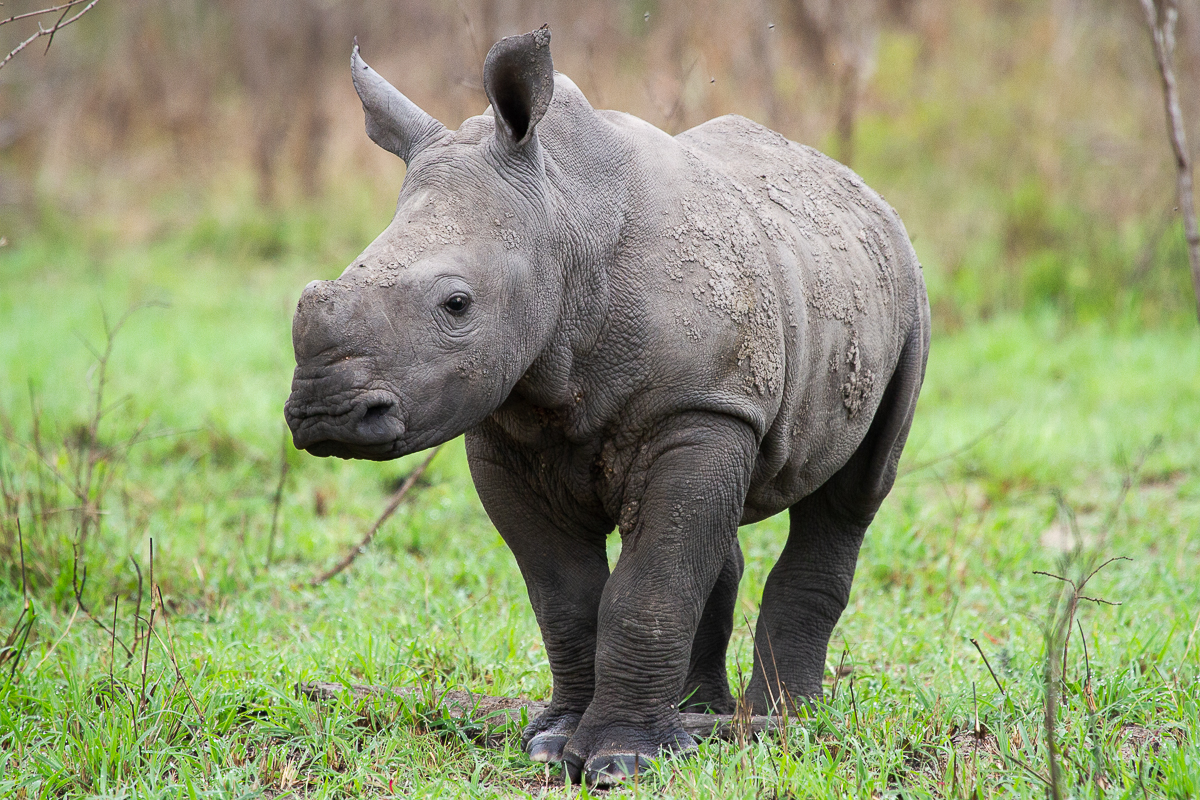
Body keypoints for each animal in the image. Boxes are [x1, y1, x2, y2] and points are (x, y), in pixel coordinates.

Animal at [284, 28, 930, 785]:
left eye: (457, 304)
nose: (326, 414)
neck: (563, 221)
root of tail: (859, 188)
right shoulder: (505, 433)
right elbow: (567, 597)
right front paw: (557, 741)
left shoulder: (700, 406)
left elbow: (650, 588)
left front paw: (622, 760)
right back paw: (701, 718)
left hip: (904, 296)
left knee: (853, 495)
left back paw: (782, 723)